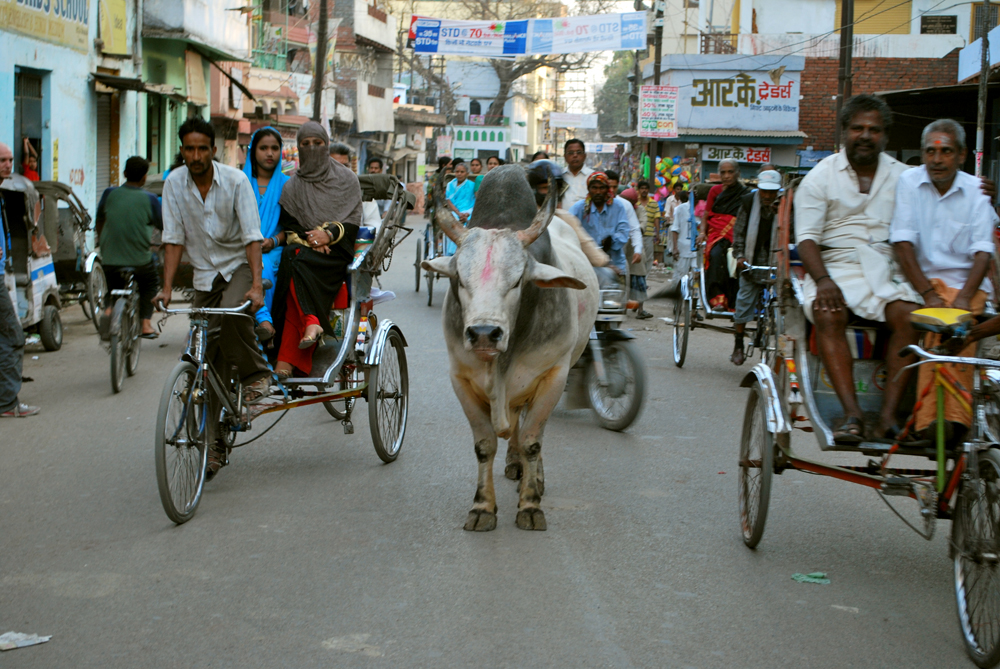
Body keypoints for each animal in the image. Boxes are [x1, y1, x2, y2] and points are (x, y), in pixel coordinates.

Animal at [420, 167, 596, 532]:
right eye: (459, 278)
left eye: (517, 281)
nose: (484, 334)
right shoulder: (460, 378)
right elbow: (485, 445)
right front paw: (482, 508)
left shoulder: (554, 375)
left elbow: (532, 441)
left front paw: (530, 504)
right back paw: (514, 464)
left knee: (531, 430)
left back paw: (534, 478)